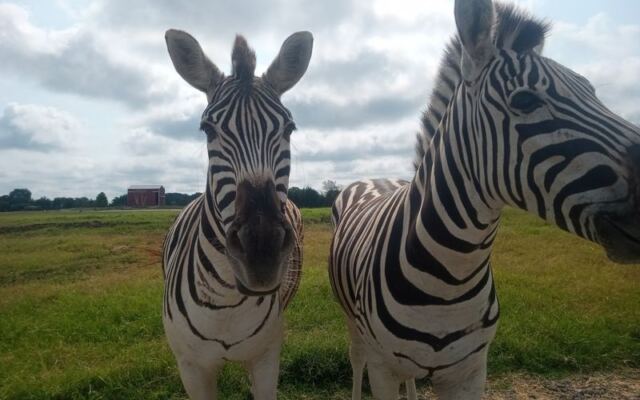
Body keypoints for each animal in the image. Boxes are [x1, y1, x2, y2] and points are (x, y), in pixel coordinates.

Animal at [162, 29, 312, 400]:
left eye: (289, 129)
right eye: (207, 130)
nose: (261, 251)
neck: (226, 303)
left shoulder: (266, 358)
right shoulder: (191, 368)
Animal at [329, 0, 640, 399]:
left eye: (593, 92)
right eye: (525, 100)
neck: (451, 278)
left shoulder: (470, 370)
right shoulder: (383, 367)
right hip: (353, 324)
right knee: (357, 360)